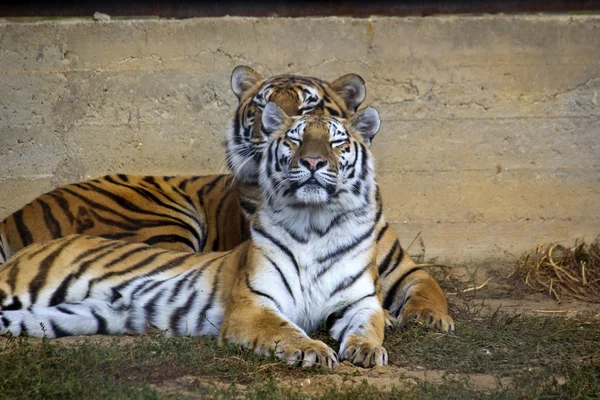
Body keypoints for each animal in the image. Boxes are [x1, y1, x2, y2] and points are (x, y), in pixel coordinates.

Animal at [1, 105, 390, 368]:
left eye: (336, 142)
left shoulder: (362, 300)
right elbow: (286, 330)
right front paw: (314, 350)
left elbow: (370, 325)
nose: (311, 162)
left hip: (69, 315)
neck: (316, 223)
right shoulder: (253, 303)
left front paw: (367, 349)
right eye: (295, 140)